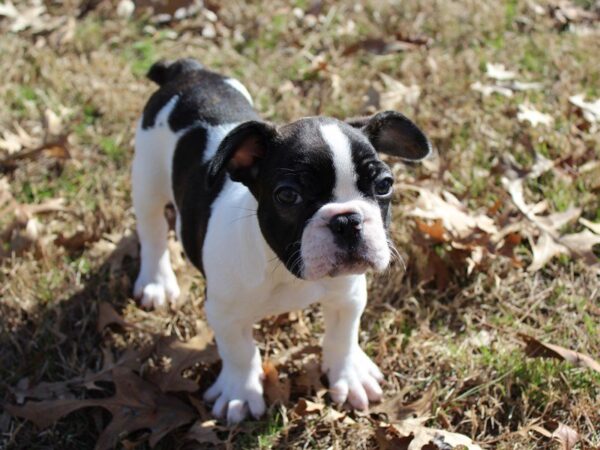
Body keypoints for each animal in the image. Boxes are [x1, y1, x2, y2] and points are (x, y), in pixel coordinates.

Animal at [131, 58, 432, 424]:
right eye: (288, 195)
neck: (286, 270)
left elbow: (342, 335)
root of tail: (186, 70)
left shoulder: (347, 295)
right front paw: (240, 394)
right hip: (147, 177)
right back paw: (156, 281)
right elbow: (239, 351)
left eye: (384, 184)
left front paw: (348, 376)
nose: (346, 220)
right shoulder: (225, 312)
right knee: (152, 230)